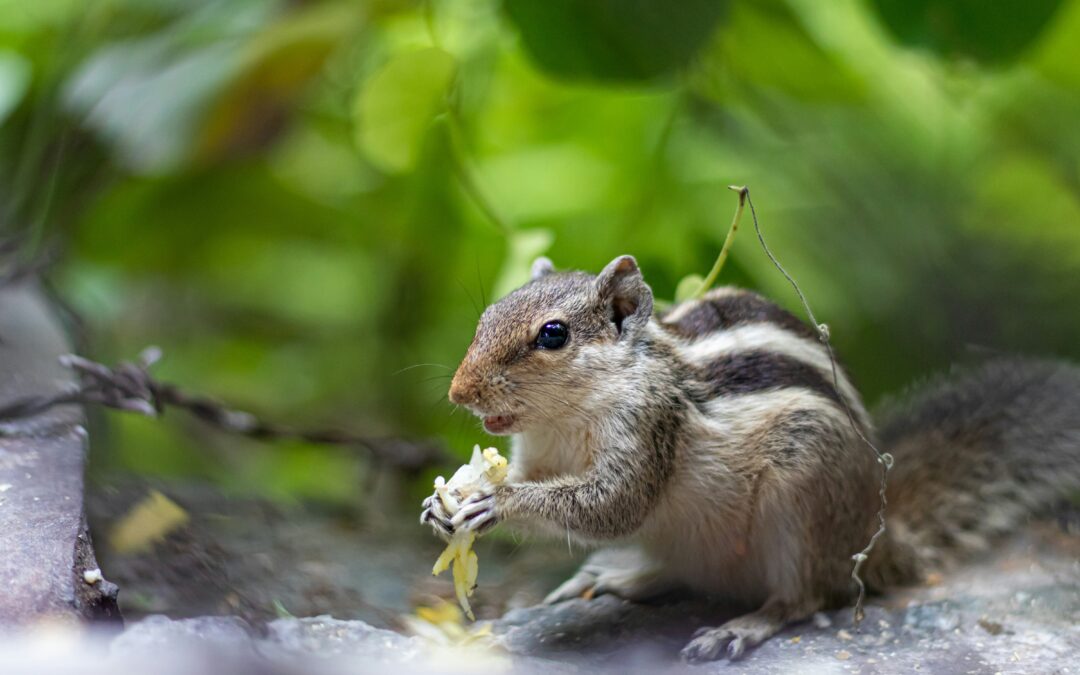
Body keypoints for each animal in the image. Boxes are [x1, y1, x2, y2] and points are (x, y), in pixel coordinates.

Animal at [421, 254, 1080, 662]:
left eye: (552, 335)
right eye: (487, 316)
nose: (458, 392)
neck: (566, 417)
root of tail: (877, 538)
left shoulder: (647, 430)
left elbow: (612, 506)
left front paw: (493, 500)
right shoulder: (537, 452)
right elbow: (546, 483)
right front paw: (439, 502)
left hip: (803, 495)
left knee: (805, 598)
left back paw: (738, 628)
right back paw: (618, 578)